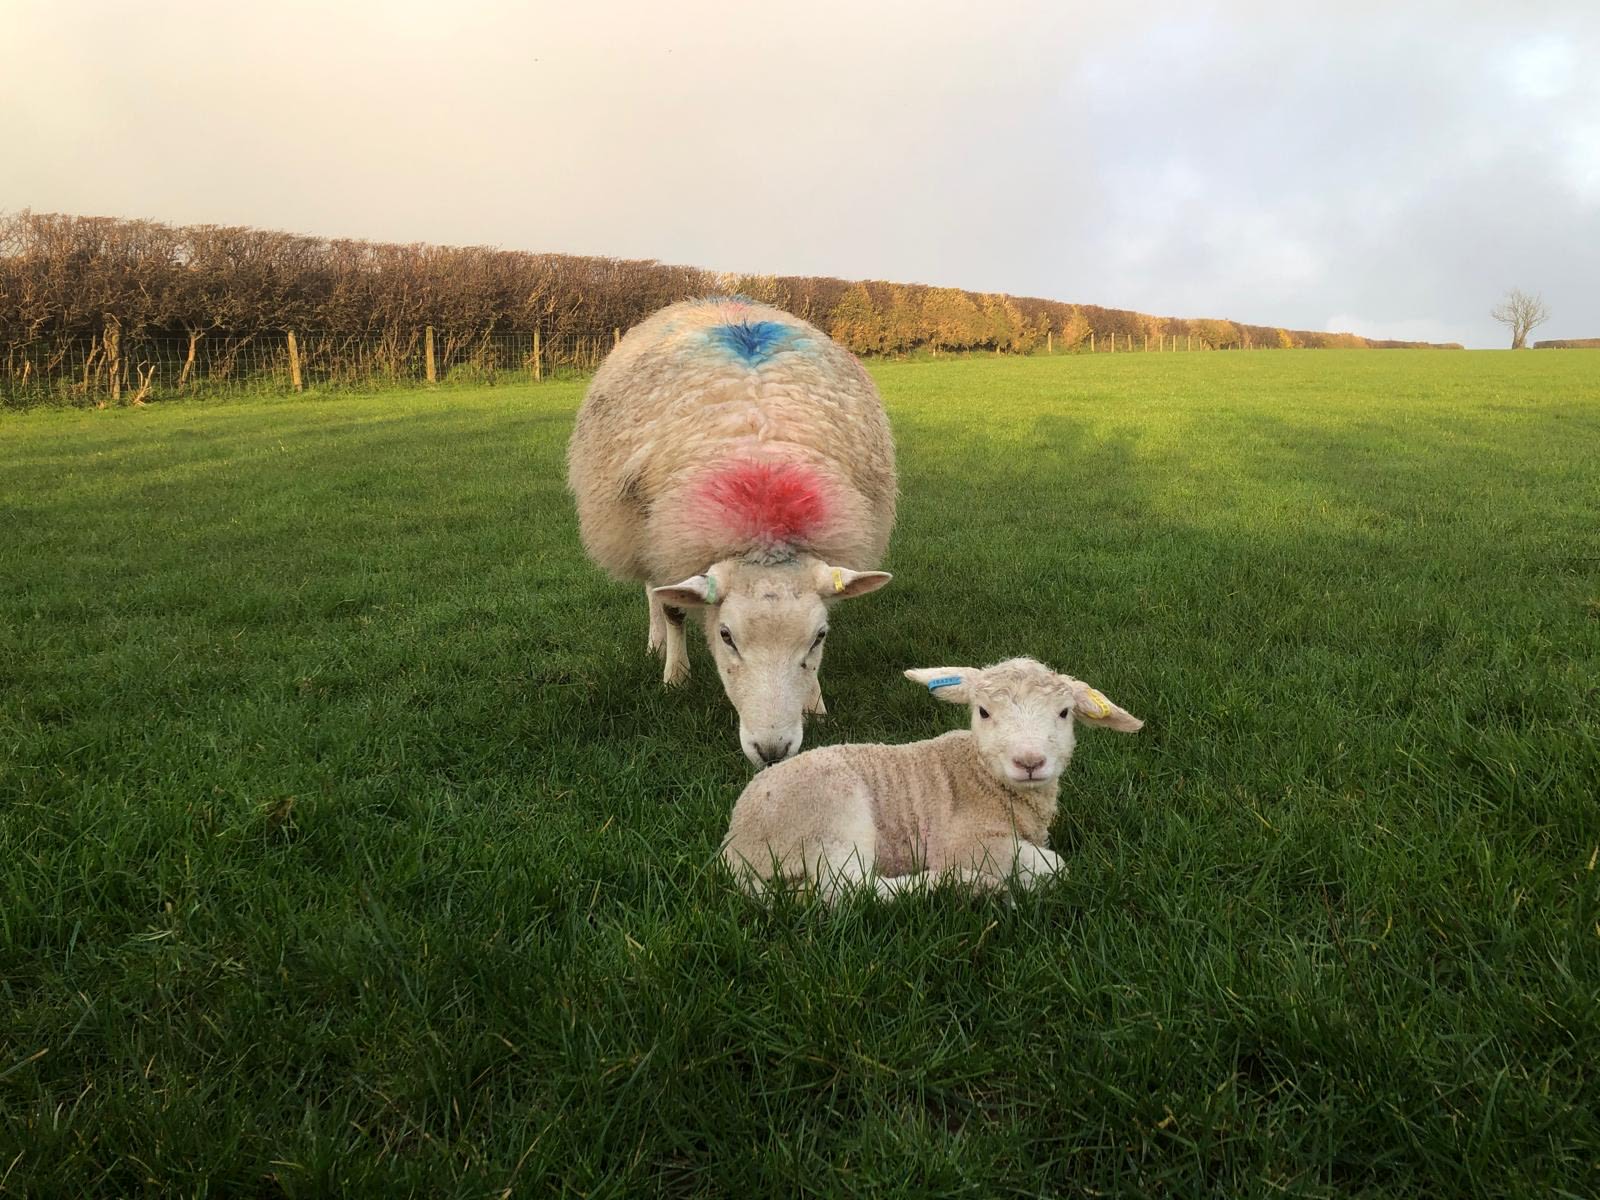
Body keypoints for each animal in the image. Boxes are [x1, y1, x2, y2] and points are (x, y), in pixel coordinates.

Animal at [567, 296, 897, 767]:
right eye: (726, 636)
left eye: (819, 637)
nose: (773, 751)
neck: (764, 519)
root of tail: (713, 299)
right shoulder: (670, 539)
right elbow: (673, 609)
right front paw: (675, 677)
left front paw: (815, 703)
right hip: (640, 528)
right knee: (654, 592)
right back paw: (657, 642)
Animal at [721, 658, 1143, 899]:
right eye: (983, 712)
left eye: (1064, 713)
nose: (1029, 761)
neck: (981, 776)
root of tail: (735, 848)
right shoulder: (965, 842)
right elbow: (1056, 868)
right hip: (831, 815)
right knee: (849, 891)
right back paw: (963, 885)